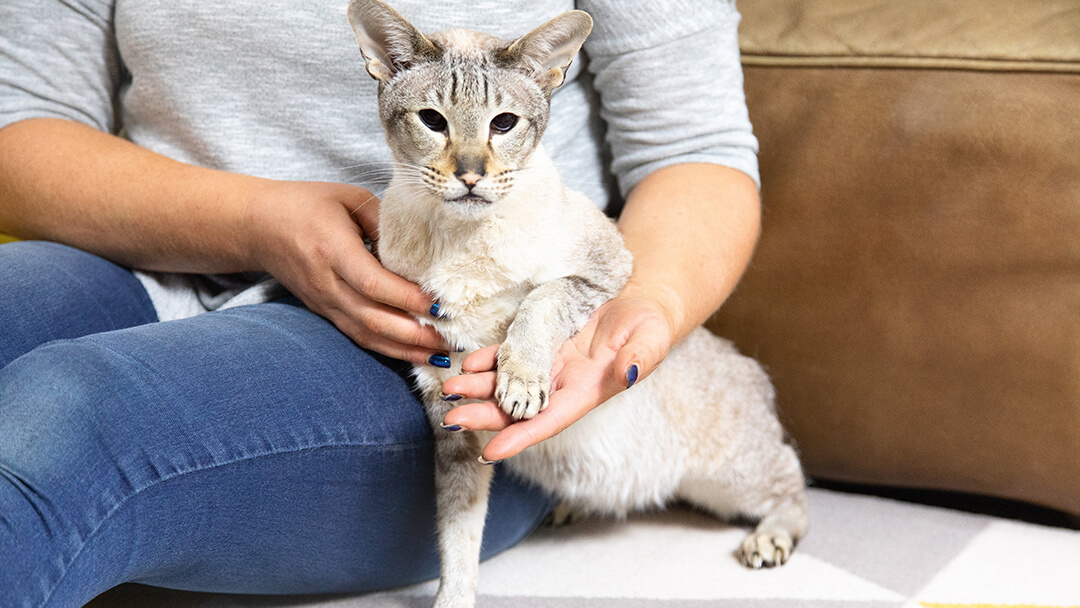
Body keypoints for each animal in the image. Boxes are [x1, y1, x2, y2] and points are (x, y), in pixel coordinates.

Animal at [345, 2, 812, 604]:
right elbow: (458, 540)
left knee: (791, 478)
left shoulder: (604, 268)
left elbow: (539, 303)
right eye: (432, 121)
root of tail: (751, 368)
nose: (470, 175)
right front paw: (454, 598)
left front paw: (520, 381)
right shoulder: (454, 425)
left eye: (503, 124)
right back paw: (565, 509)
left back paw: (768, 540)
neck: (460, 237)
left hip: (731, 475)